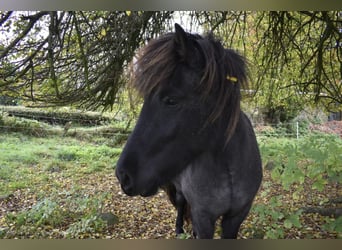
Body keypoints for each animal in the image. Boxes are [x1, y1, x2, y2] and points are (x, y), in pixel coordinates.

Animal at [116, 23, 264, 238]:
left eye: (171, 100)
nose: (123, 175)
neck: (228, 169)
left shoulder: (236, 216)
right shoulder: (203, 216)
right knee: (180, 204)